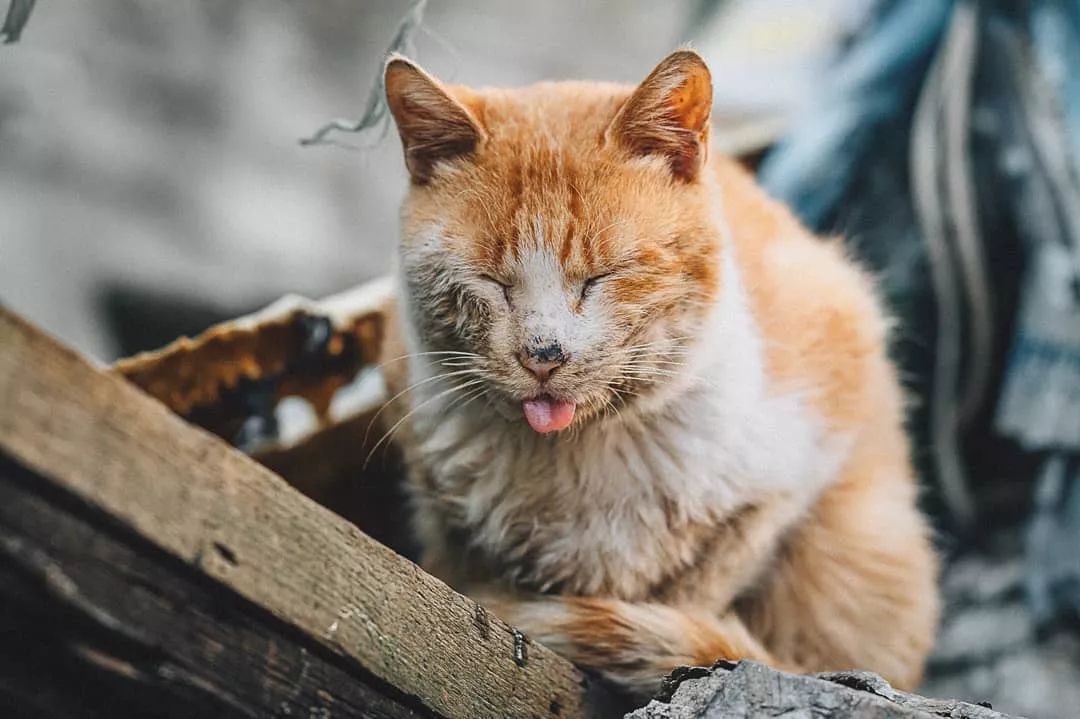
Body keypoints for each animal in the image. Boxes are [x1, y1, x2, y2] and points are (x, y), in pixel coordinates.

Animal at [380, 47, 937, 690]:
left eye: (602, 277)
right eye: (492, 283)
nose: (543, 355)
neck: (579, 469)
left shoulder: (781, 485)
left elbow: (691, 600)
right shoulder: (441, 512)